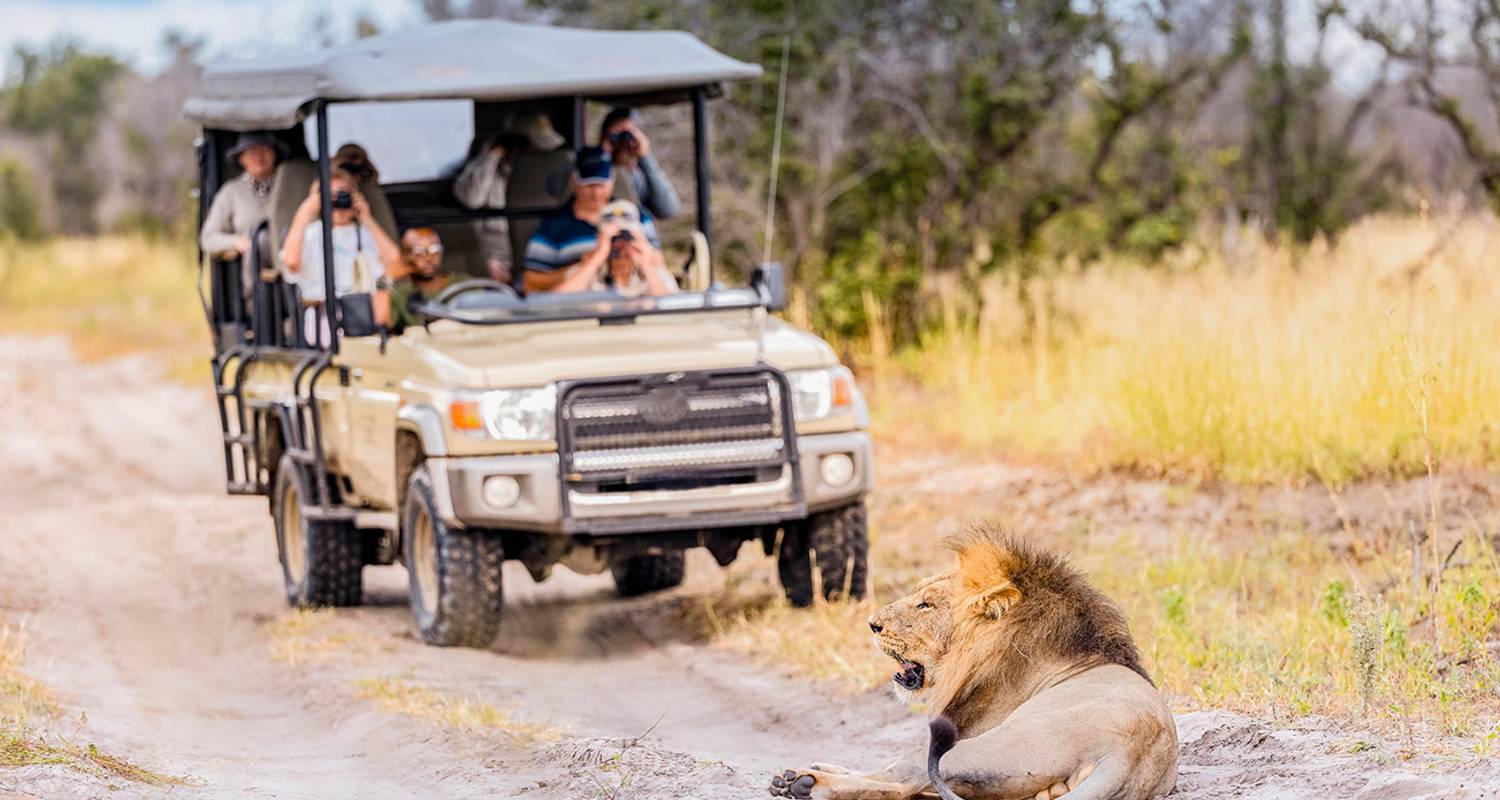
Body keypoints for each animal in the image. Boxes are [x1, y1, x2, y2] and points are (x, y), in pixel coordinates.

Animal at [768, 525, 1176, 798]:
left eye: (926, 605)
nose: (872, 623)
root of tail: (1129, 754)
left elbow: (891, 771)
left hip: (977, 748)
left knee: (903, 780)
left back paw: (804, 783)